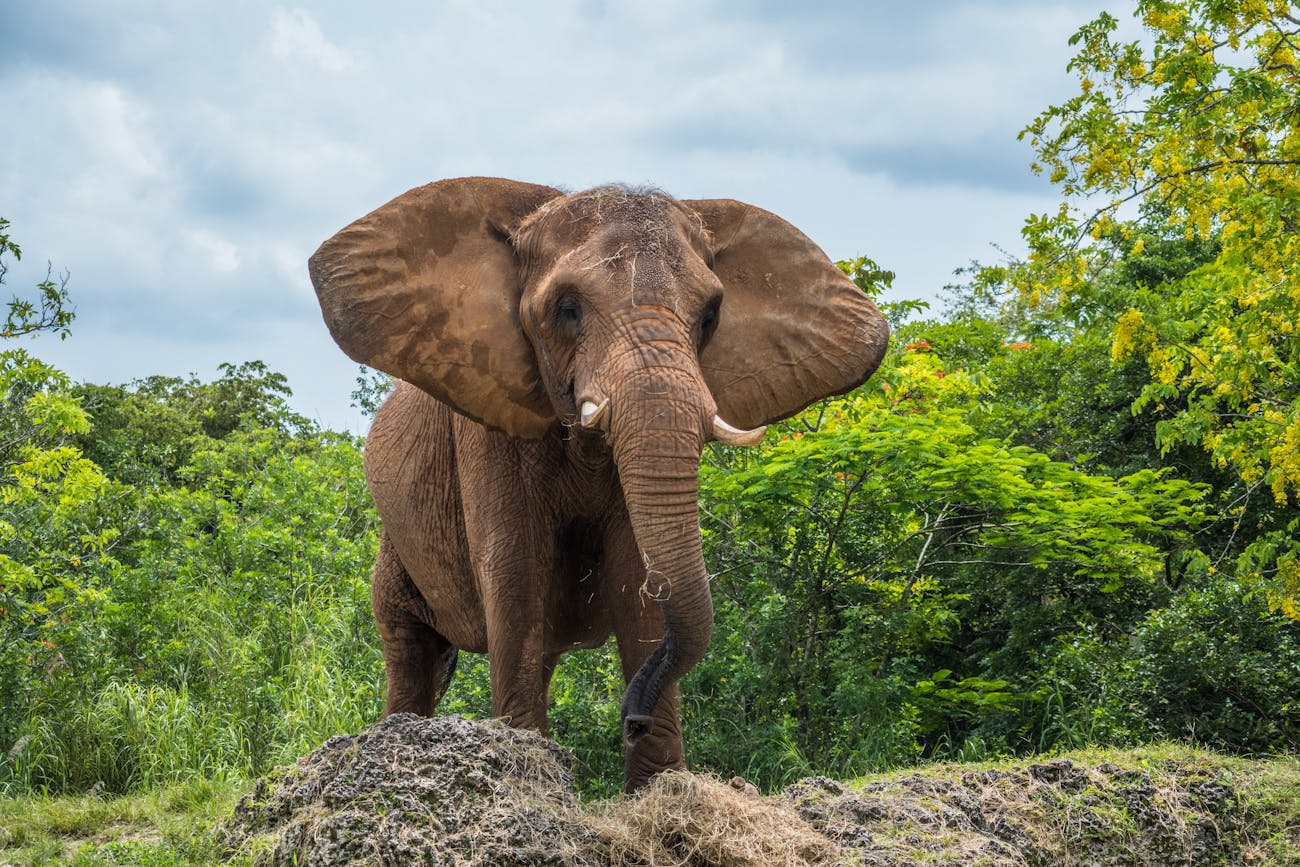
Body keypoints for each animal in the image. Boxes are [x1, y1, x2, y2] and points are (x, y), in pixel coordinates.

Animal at [309, 176, 889, 795]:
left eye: (710, 316)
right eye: (567, 309)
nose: (633, 718)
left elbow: (639, 574)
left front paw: (657, 791)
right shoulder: (489, 427)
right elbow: (515, 568)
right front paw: (530, 784)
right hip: (395, 539)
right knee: (408, 643)